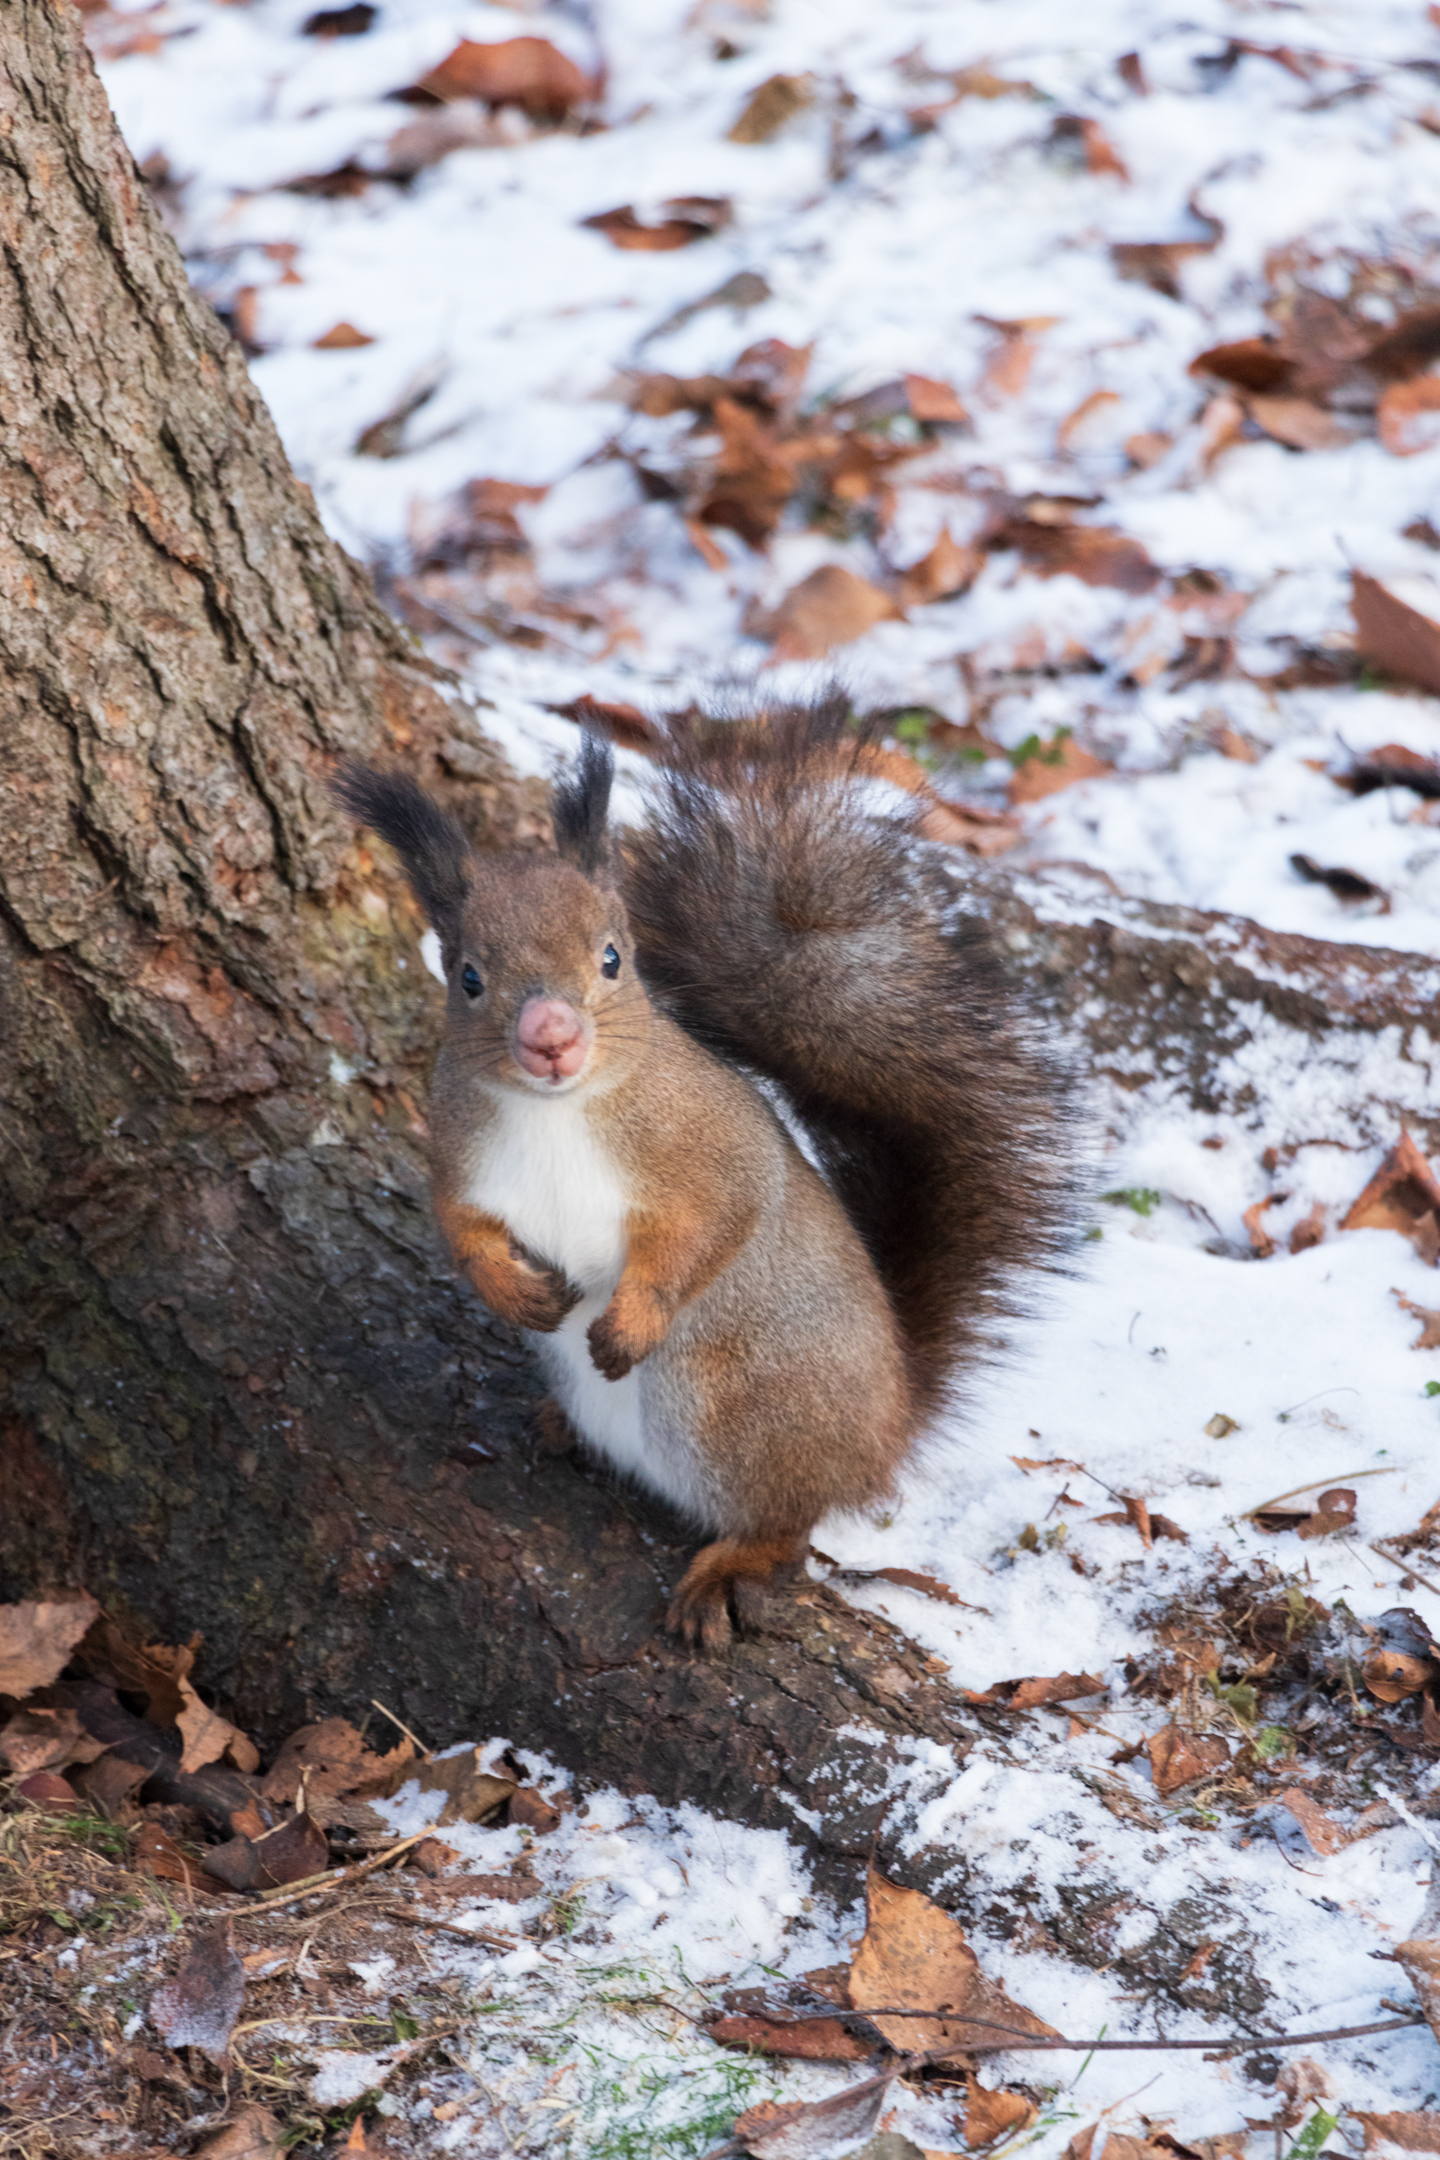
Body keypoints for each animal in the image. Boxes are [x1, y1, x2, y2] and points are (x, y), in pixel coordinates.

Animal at [334, 699, 1070, 1641]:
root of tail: (888, 1426)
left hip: (727, 1404)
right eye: (466, 976)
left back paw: (735, 1563)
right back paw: (561, 1424)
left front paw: (629, 1321)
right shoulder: (462, 1160)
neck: (556, 1109)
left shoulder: (710, 1154)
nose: (550, 1037)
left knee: (788, 1519)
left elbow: (711, 1227)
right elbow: (461, 1231)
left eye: (613, 958)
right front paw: (513, 1292)